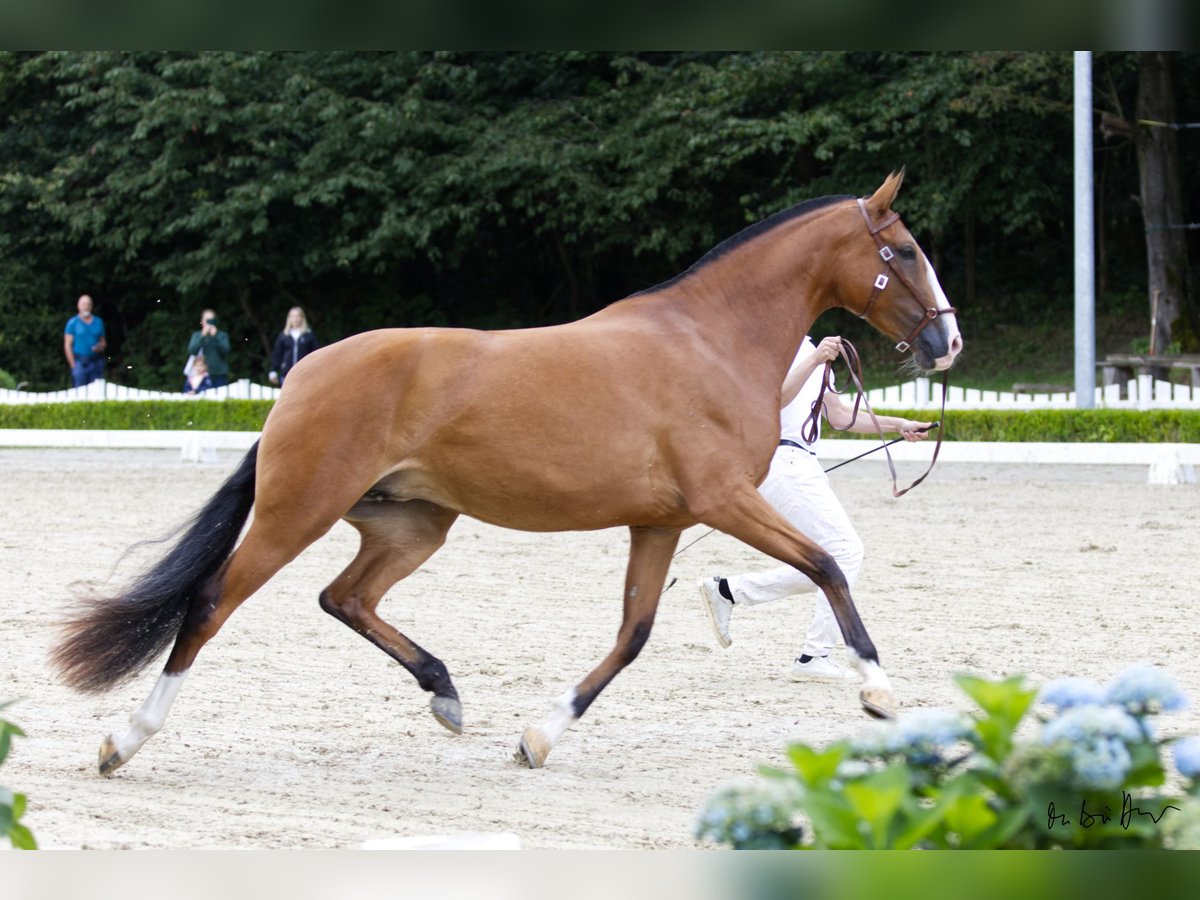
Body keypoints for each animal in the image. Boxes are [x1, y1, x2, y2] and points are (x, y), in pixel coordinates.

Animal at [51, 170, 960, 777]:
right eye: (905, 250)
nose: (948, 343)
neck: (710, 339)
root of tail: (301, 376)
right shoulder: (725, 501)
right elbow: (828, 565)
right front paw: (879, 694)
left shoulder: (660, 520)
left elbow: (632, 635)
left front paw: (538, 735)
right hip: (293, 515)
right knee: (210, 605)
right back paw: (122, 741)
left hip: (412, 524)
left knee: (345, 598)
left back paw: (445, 692)